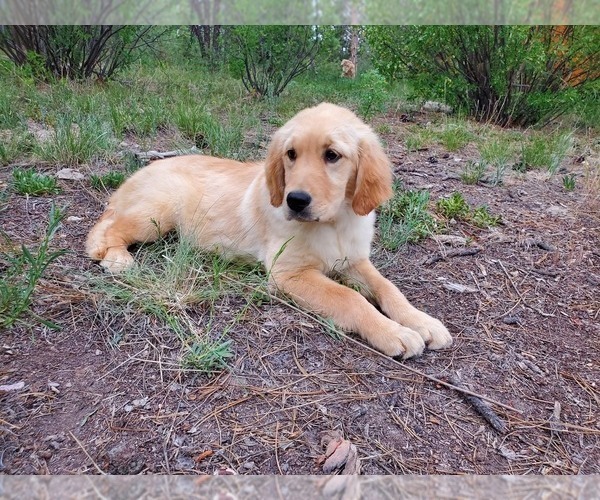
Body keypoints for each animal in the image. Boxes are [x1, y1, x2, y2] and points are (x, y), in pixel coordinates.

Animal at [86, 102, 452, 360]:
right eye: (291, 154)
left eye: (332, 155)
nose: (296, 200)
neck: (332, 223)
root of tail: (137, 174)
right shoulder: (288, 273)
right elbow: (350, 298)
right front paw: (393, 333)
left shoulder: (354, 260)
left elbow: (389, 289)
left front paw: (422, 321)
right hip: (158, 212)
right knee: (105, 229)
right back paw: (115, 257)